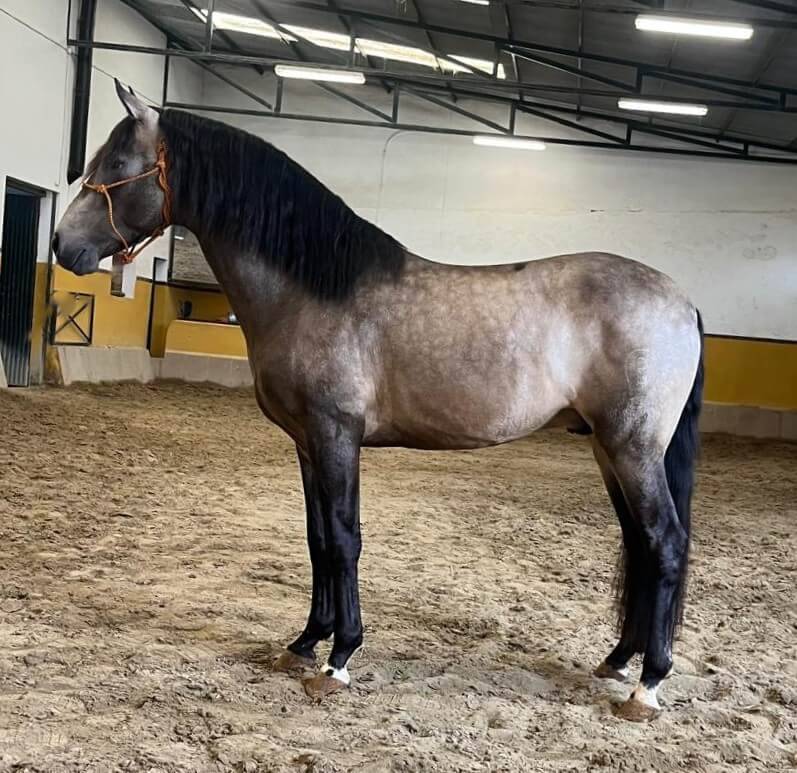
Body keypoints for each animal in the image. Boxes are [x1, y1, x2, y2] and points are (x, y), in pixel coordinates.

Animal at [53, 81, 703, 722]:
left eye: (116, 164)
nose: (62, 245)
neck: (314, 289)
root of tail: (681, 300)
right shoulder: (307, 442)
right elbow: (318, 539)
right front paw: (304, 643)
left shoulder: (337, 433)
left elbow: (345, 539)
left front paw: (339, 658)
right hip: (607, 449)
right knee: (639, 544)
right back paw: (618, 661)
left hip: (632, 448)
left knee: (665, 543)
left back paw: (647, 686)